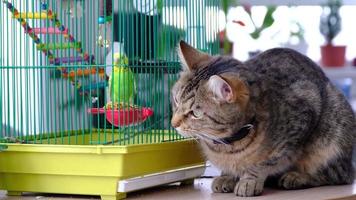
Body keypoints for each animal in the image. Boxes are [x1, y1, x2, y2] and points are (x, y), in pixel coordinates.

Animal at [171, 41, 354, 197]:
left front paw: (249, 180)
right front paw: (228, 175)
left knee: (337, 174)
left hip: (332, 139)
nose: (173, 123)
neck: (228, 145)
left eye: (195, 113)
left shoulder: (303, 114)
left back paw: (297, 177)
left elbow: (266, 161)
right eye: (176, 100)